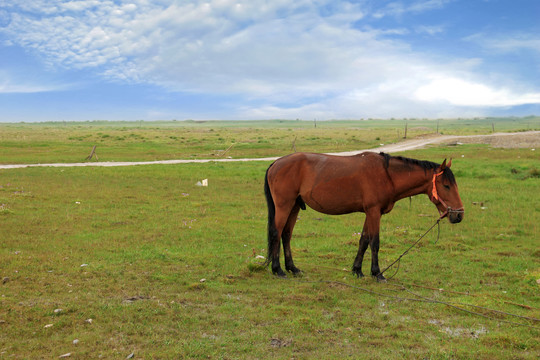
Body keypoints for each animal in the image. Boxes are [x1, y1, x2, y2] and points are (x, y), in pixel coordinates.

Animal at [262, 151, 464, 282]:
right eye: (446, 185)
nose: (459, 215)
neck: (387, 175)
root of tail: (276, 163)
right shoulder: (374, 212)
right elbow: (375, 242)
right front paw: (377, 273)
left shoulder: (371, 212)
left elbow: (364, 240)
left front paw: (357, 270)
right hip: (284, 206)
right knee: (276, 233)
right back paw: (278, 270)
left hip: (294, 206)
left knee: (286, 235)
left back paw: (292, 268)